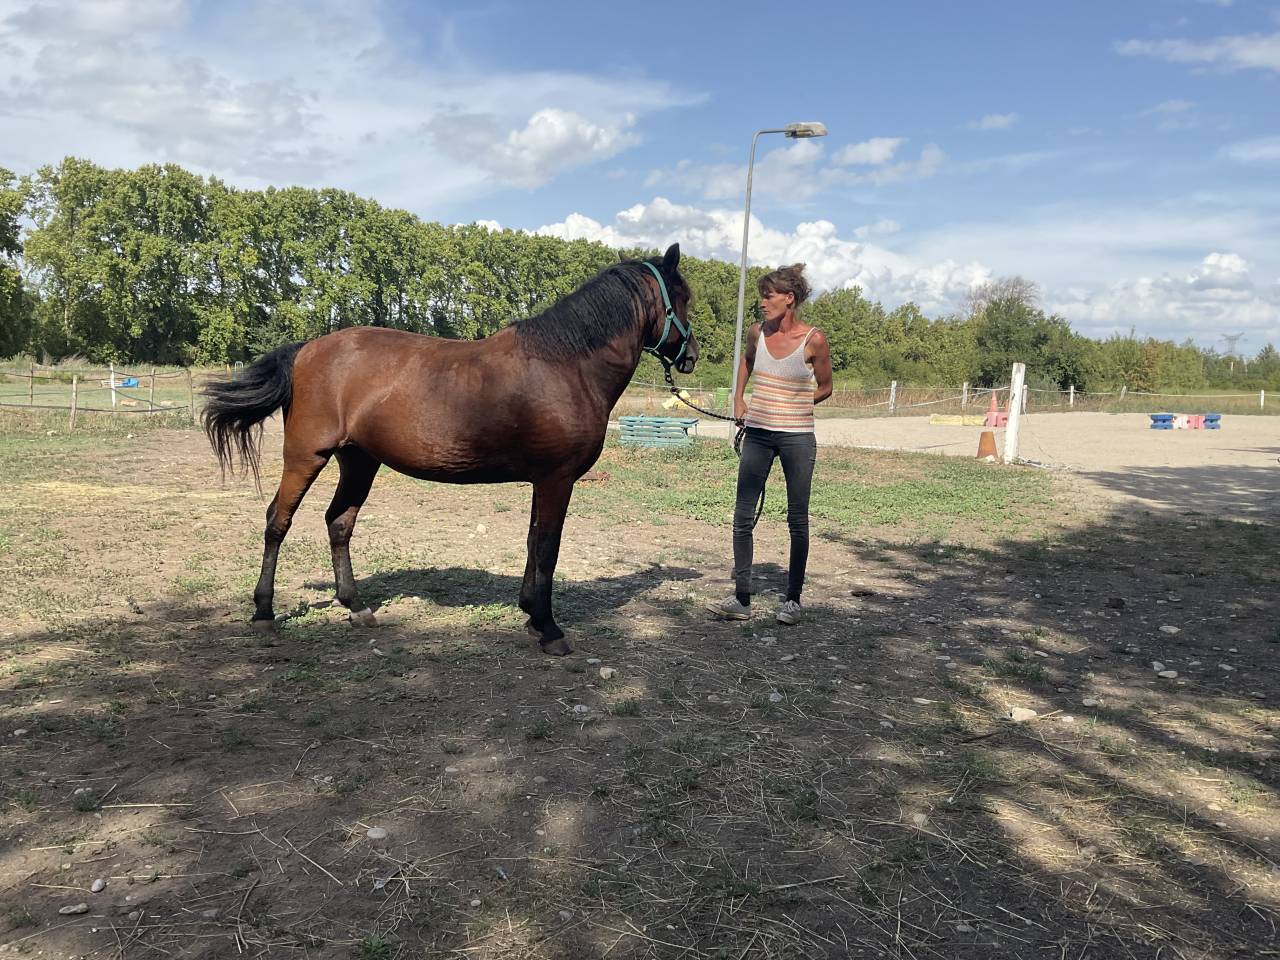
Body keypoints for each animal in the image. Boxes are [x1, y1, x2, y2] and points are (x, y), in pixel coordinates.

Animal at [202, 243, 697, 655]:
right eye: (685, 297)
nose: (691, 355)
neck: (566, 366)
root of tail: (307, 349)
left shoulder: (541, 480)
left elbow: (533, 541)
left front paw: (530, 614)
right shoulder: (557, 479)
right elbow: (548, 548)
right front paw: (549, 628)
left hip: (359, 461)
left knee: (338, 523)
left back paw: (356, 606)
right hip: (307, 456)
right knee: (277, 522)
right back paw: (264, 613)